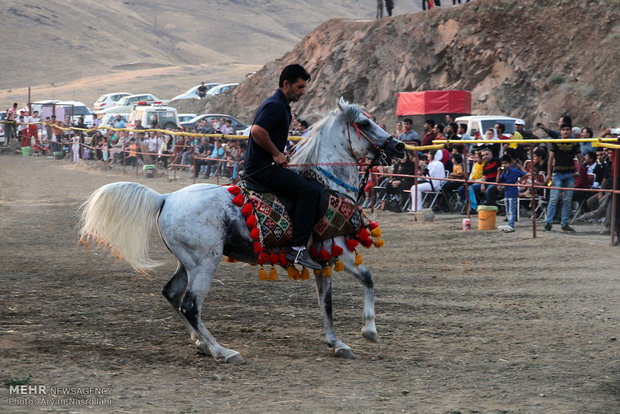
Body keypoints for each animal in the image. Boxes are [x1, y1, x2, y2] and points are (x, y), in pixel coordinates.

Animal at [80, 98, 404, 364]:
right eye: (365, 123)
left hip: (188, 262)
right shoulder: (339, 251)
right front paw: (369, 330)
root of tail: (166, 198)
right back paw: (222, 351)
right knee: (190, 306)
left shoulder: (323, 261)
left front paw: (336, 343)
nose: (398, 147)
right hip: (205, 263)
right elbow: (368, 279)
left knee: (172, 294)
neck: (327, 185)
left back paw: (201, 344)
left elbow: (326, 303)